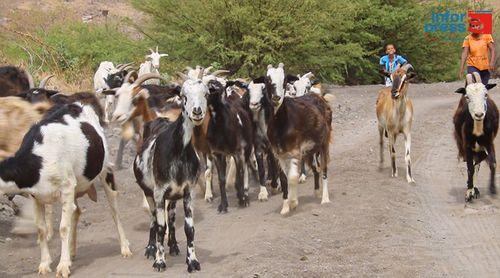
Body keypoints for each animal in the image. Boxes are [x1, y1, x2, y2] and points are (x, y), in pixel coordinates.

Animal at [0, 94, 131, 278]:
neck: (37, 160)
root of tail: (77, 104)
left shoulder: (67, 187)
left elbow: (63, 227)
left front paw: (62, 266)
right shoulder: (36, 197)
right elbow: (41, 229)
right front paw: (45, 264)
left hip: (105, 171)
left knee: (114, 210)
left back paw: (125, 247)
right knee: (76, 211)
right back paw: (71, 252)